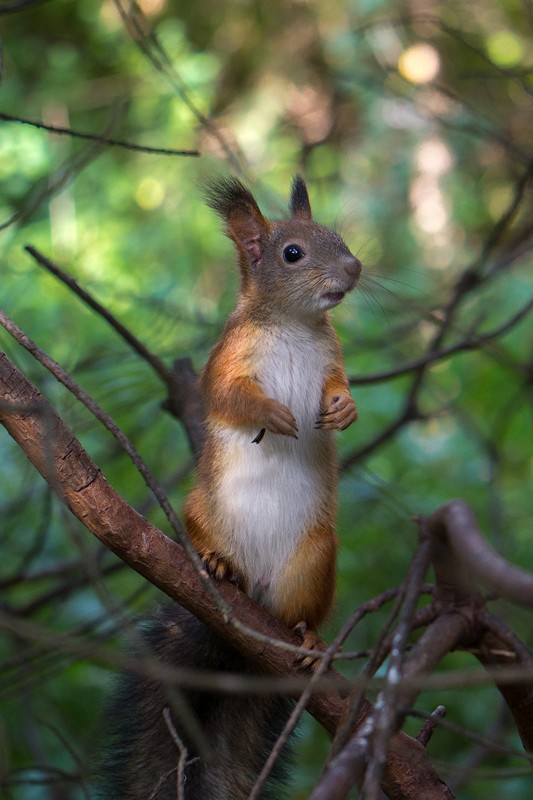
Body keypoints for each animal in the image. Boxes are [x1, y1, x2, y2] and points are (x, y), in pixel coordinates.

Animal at [97, 177, 360, 800]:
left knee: (301, 610)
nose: (356, 268)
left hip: (314, 559)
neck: (292, 325)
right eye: (293, 253)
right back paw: (218, 564)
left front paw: (344, 410)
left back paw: (308, 640)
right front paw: (273, 414)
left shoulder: (332, 358)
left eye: (337, 236)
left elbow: (337, 386)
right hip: (199, 509)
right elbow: (227, 397)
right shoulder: (225, 361)